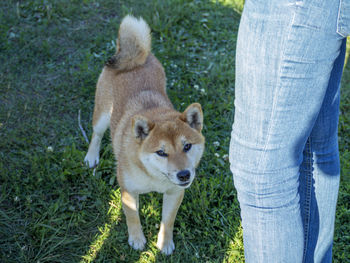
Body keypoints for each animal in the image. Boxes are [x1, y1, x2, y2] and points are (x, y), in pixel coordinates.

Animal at [84, 14, 205, 256]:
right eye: (161, 152)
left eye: (187, 146)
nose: (184, 175)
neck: (155, 178)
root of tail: (132, 59)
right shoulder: (129, 191)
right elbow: (132, 217)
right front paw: (137, 239)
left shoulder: (174, 193)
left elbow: (168, 220)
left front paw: (164, 243)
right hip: (102, 115)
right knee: (96, 135)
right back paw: (92, 156)